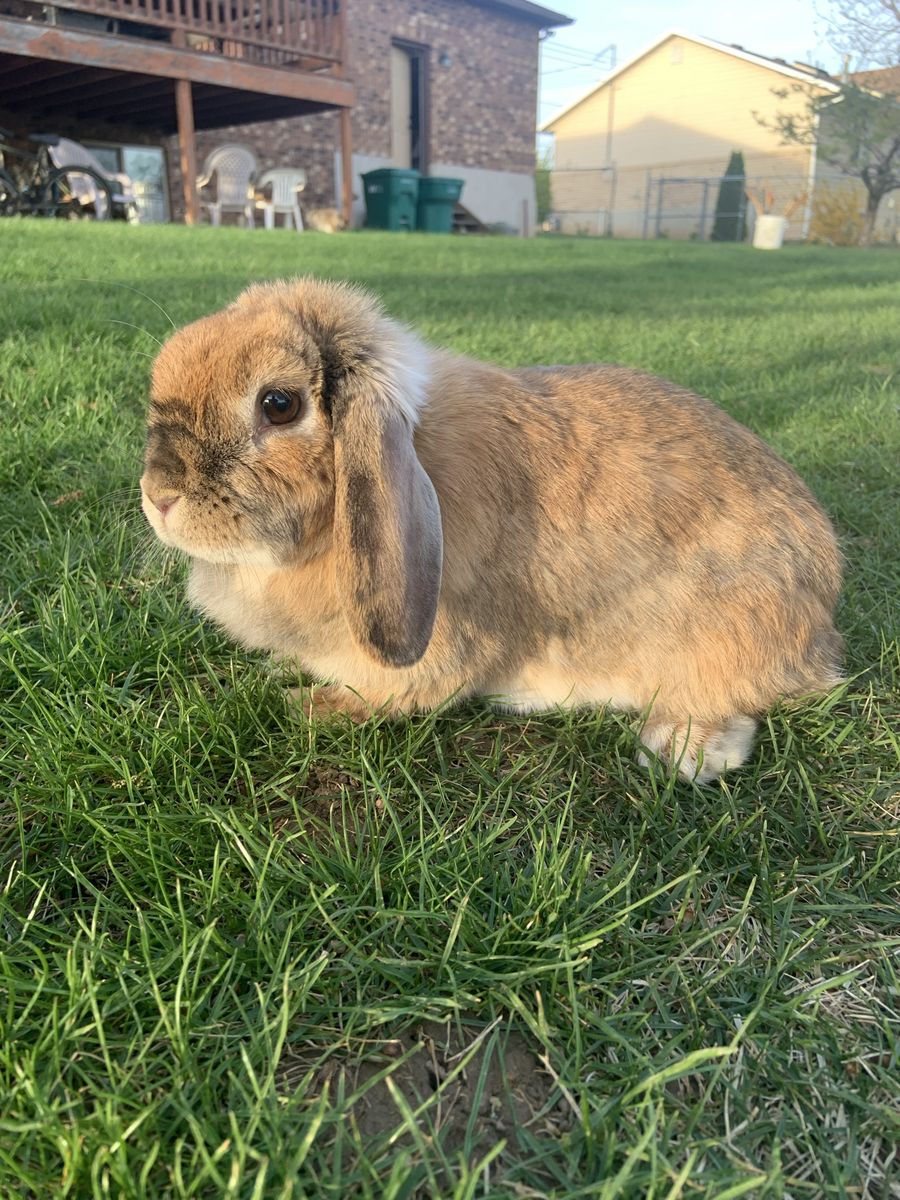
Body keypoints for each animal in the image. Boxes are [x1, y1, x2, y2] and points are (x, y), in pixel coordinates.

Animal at [140, 277, 843, 782]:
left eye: (279, 404)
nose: (159, 495)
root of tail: (821, 611)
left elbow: (392, 698)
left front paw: (302, 706)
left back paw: (679, 751)